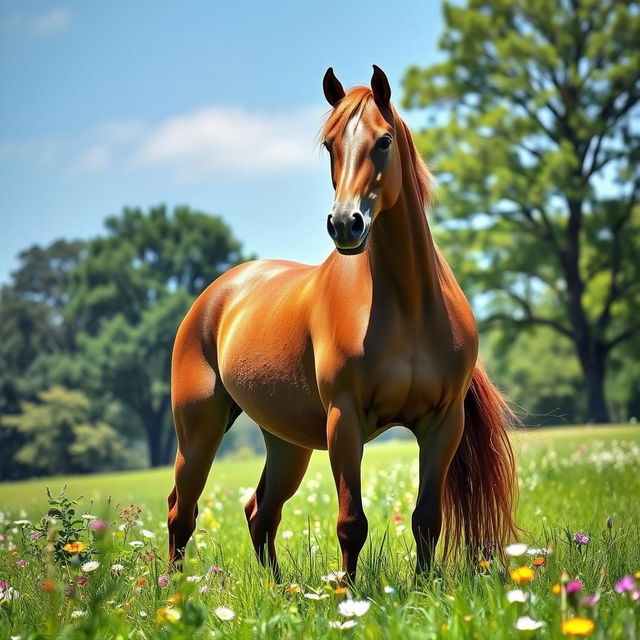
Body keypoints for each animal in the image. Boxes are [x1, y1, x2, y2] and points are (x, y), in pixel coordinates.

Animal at [168, 65, 516, 580]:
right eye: (331, 144)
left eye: (384, 141)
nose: (345, 224)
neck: (409, 307)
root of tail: (215, 296)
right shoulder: (344, 422)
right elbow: (352, 523)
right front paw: (347, 593)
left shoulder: (443, 424)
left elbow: (427, 519)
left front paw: (423, 589)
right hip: (200, 430)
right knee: (182, 511)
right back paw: (170, 591)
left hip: (285, 442)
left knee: (260, 512)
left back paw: (278, 590)